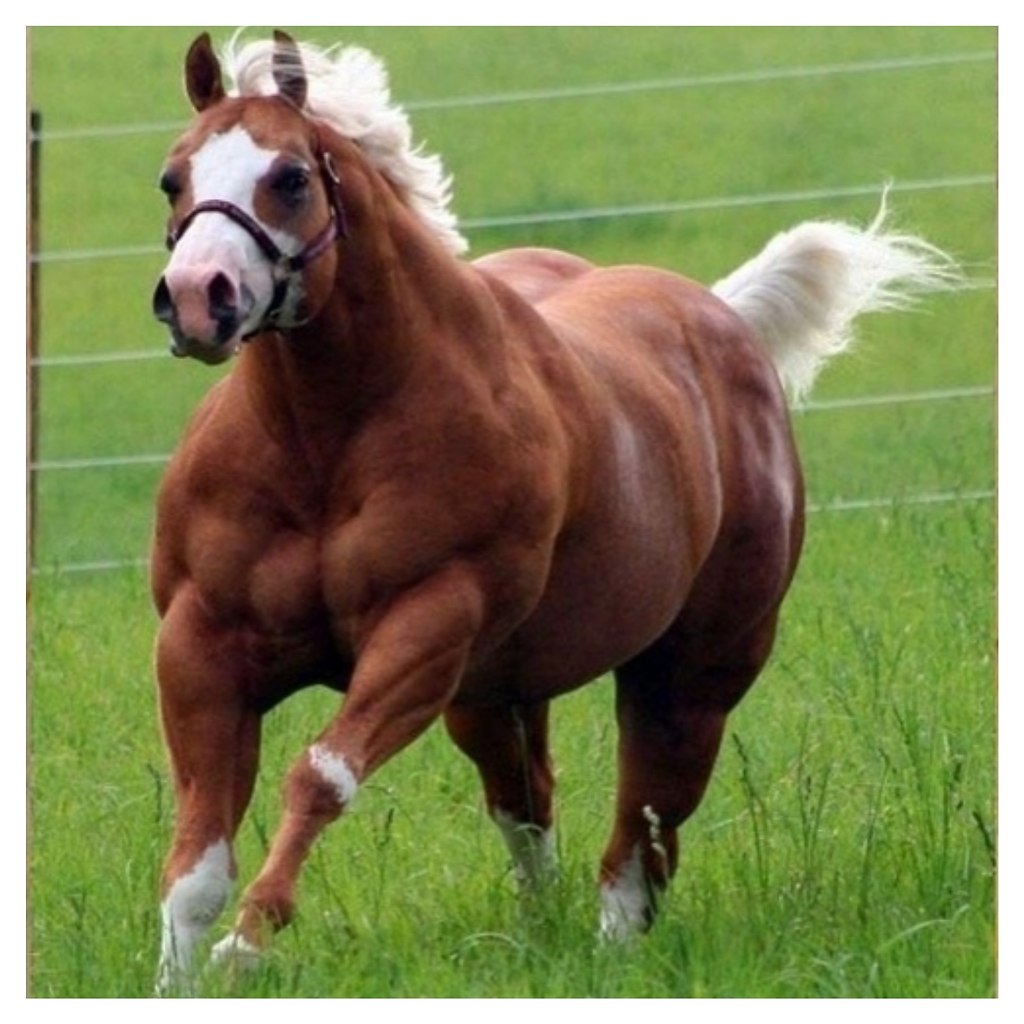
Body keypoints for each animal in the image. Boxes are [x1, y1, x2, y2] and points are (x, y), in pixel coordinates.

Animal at [149, 30, 956, 991]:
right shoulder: (203, 644)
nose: (197, 297)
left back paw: (609, 950)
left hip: (693, 671)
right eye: (173, 177)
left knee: (646, 824)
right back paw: (541, 939)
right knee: (530, 802)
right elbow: (197, 855)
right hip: (495, 694)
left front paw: (246, 942)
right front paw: (176, 976)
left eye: (291, 177)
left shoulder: (427, 626)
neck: (329, 443)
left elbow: (321, 776)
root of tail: (720, 315)